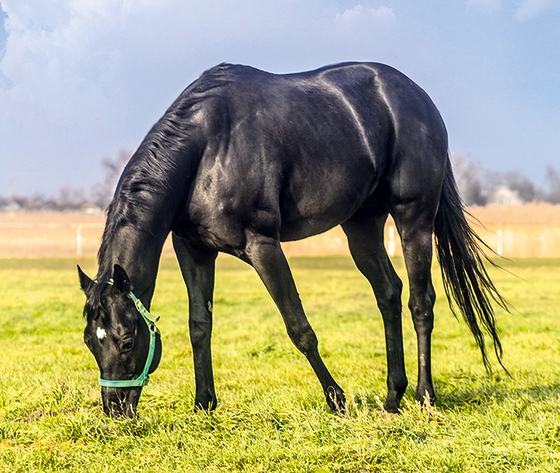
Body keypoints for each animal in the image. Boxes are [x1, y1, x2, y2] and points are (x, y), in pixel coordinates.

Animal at [76, 61, 506, 416]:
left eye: (126, 341)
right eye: (90, 342)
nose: (114, 410)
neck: (207, 149)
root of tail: (418, 98)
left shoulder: (263, 245)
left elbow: (298, 326)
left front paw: (336, 399)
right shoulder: (193, 250)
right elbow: (200, 324)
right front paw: (204, 403)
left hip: (414, 219)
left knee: (421, 302)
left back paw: (424, 396)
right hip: (362, 226)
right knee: (388, 293)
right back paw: (392, 397)